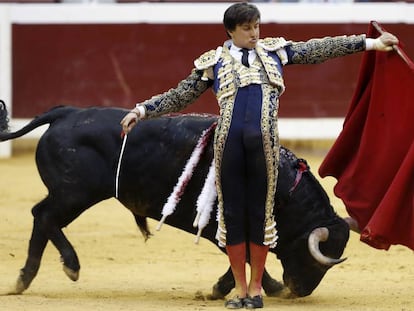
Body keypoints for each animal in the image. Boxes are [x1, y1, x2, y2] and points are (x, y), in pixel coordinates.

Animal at [0, 105, 350, 300]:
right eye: (313, 259)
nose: (301, 291)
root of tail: (66, 112)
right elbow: (246, 256)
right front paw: (266, 287)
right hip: (74, 194)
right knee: (44, 216)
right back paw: (69, 266)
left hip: (70, 195)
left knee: (41, 217)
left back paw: (22, 280)